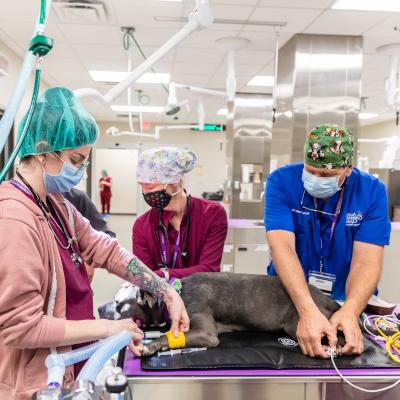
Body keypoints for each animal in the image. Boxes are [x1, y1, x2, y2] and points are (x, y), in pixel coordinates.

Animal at [98, 272, 342, 356]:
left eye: (118, 303)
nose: (99, 309)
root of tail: (326, 298)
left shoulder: (206, 333)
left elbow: (165, 336)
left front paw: (150, 345)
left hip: (297, 324)